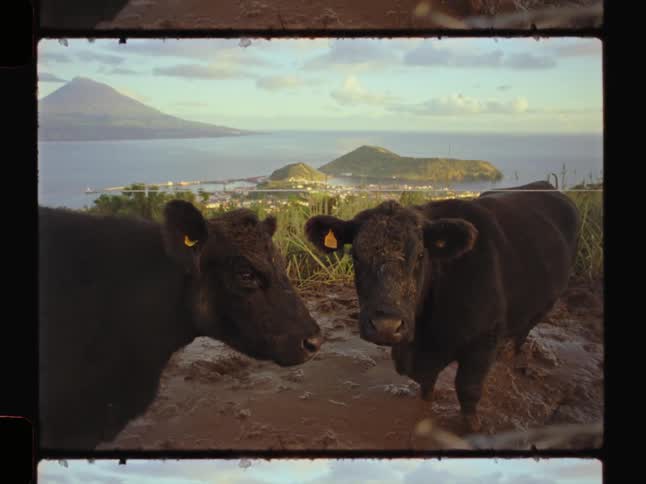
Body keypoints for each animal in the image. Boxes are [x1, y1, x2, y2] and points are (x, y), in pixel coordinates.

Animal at [305, 181, 580, 431]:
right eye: (355, 255)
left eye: (420, 255)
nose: (386, 326)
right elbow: (426, 387)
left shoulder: (483, 341)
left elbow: (468, 391)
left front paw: (472, 429)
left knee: (523, 331)